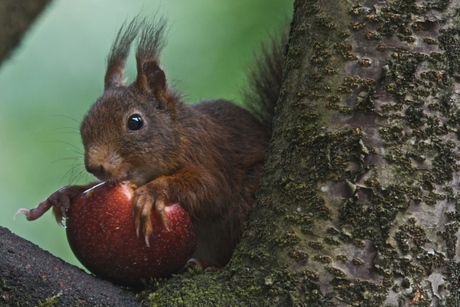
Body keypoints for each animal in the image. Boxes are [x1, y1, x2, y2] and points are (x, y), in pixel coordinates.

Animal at [19, 15, 286, 268]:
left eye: (135, 122)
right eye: (84, 124)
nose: (95, 166)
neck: (181, 137)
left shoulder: (210, 156)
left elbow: (210, 190)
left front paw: (152, 193)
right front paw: (66, 193)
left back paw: (211, 266)